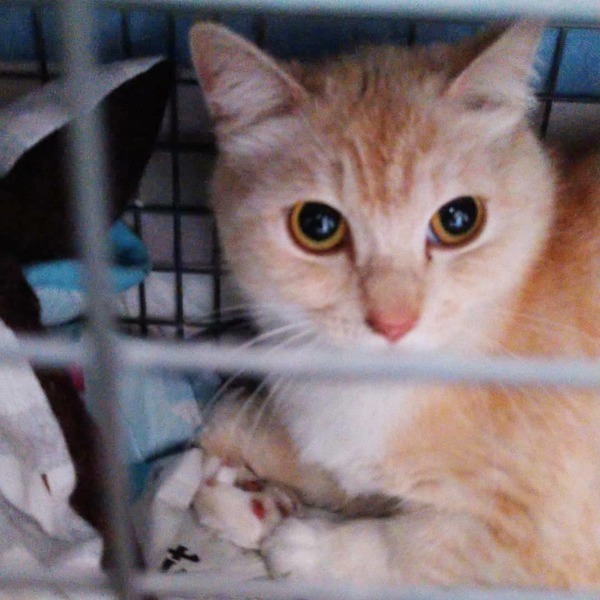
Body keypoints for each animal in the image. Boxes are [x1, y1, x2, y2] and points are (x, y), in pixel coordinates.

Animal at [189, 21, 600, 587]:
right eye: (317, 225)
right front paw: (245, 434)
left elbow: (424, 546)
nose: (394, 322)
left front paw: (314, 548)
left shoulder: (555, 542)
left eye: (458, 219)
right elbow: (342, 475)